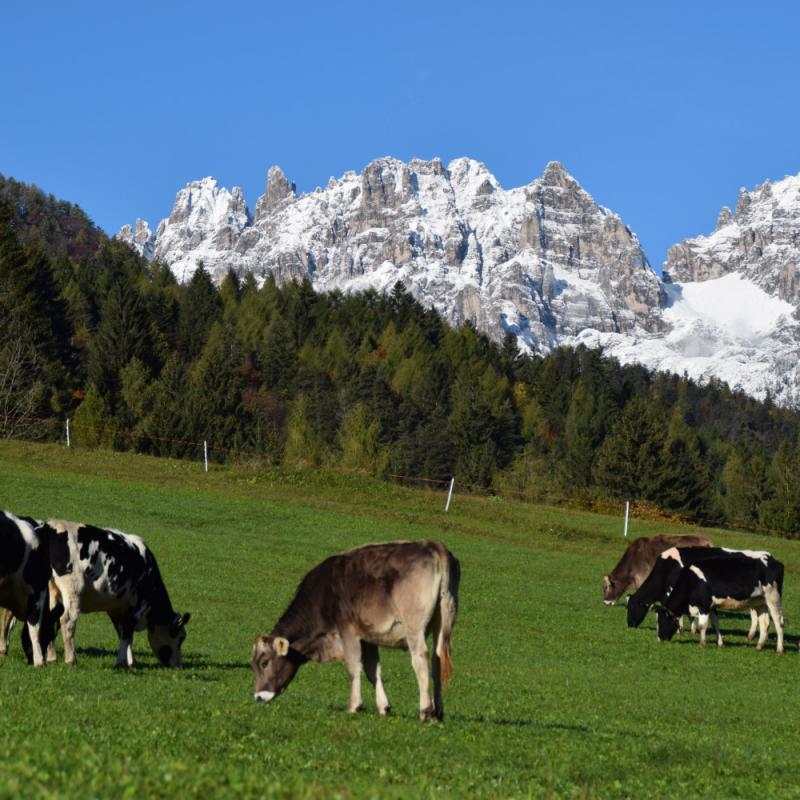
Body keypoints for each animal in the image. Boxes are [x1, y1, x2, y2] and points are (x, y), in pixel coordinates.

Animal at [42, 520, 191, 664]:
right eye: (181, 638)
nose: (178, 665)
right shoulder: (140, 605)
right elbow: (127, 632)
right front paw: (122, 662)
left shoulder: (116, 607)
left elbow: (123, 633)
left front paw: (131, 661)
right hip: (73, 589)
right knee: (67, 620)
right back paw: (71, 659)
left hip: (51, 590)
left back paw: (51, 657)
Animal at [253, 540, 460, 720]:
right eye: (253, 665)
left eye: (264, 663)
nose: (258, 697)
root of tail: (432, 545)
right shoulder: (367, 638)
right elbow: (373, 671)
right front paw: (383, 707)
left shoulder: (348, 631)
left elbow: (354, 668)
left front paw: (354, 705)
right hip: (442, 620)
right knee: (437, 660)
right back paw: (438, 710)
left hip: (414, 628)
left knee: (421, 659)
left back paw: (425, 710)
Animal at [656, 552, 788, 652]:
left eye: (662, 621)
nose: (660, 638)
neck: (692, 582)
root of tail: (775, 562)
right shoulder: (711, 606)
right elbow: (715, 623)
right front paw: (719, 643)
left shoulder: (704, 606)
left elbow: (702, 625)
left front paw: (702, 644)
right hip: (760, 602)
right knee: (764, 623)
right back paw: (759, 646)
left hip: (773, 598)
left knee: (779, 622)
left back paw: (779, 650)